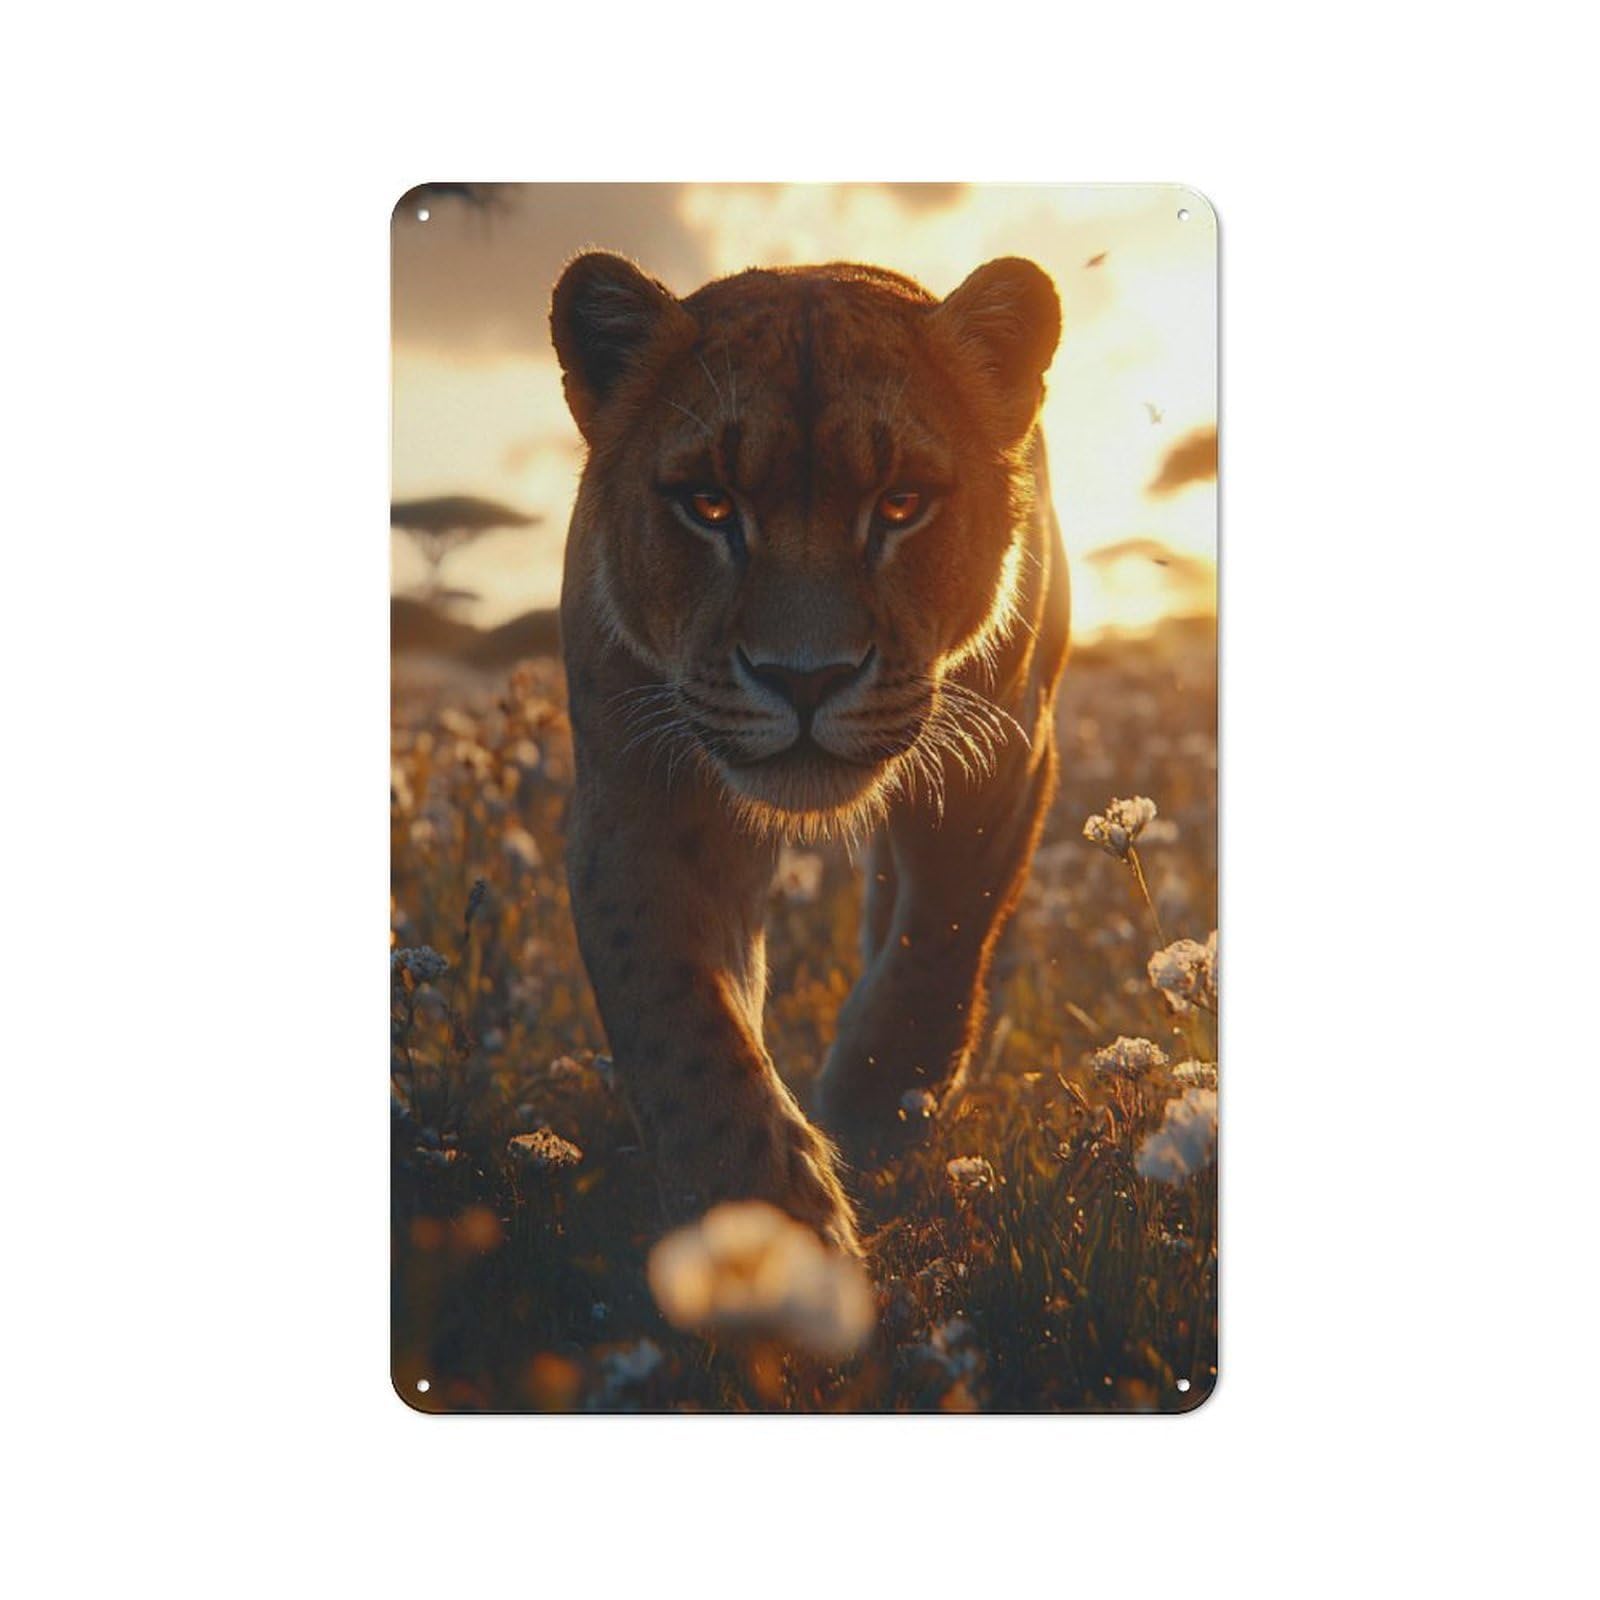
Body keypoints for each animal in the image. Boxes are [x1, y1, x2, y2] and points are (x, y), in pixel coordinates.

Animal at [551, 253, 1070, 1253]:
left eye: (900, 504)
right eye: (709, 505)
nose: (805, 678)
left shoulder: (1002, 753)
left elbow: (942, 934)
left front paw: (876, 1096)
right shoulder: (637, 796)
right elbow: (677, 1014)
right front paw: (768, 1229)